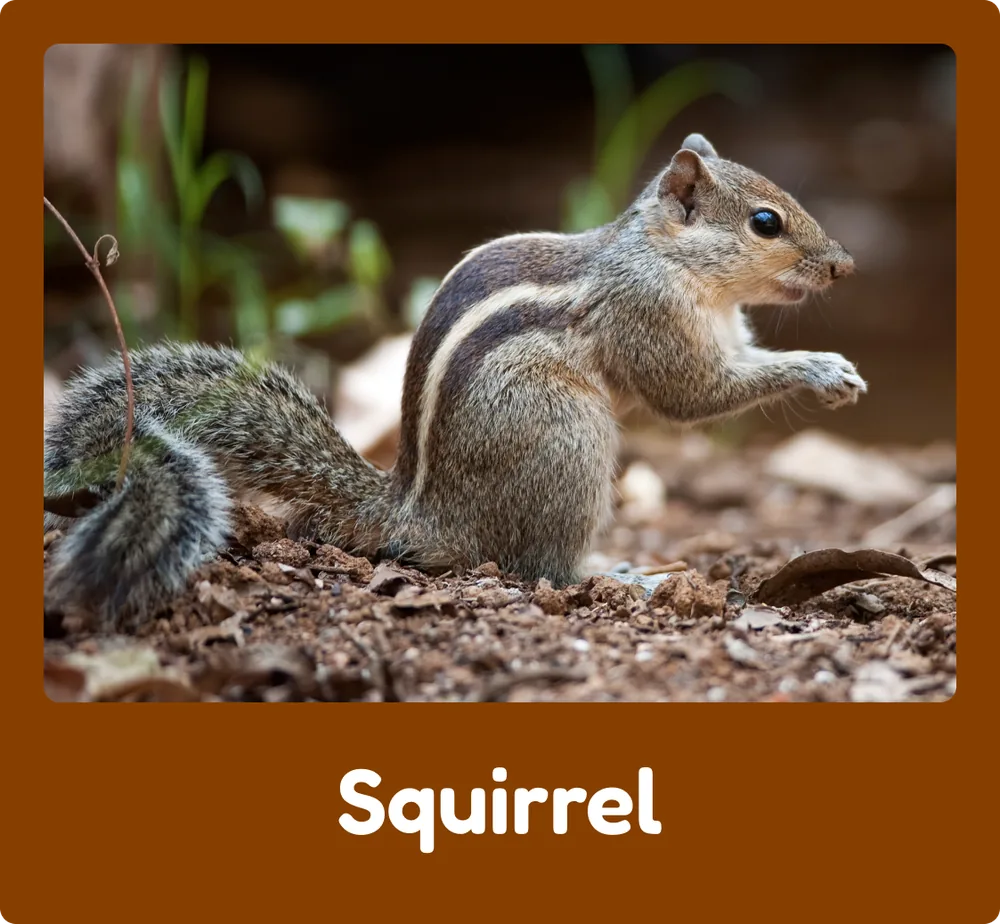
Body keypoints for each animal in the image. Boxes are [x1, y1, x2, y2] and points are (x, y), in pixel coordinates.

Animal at [44, 132, 865, 632]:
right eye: (766, 222)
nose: (845, 266)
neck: (667, 258)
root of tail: (419, 514)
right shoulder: (650, 316)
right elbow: (692, 395)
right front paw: (822, 368)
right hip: (569, 441)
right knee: (540, 567)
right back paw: (621, 574)